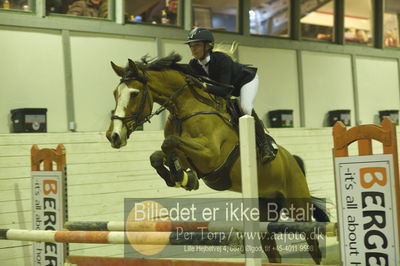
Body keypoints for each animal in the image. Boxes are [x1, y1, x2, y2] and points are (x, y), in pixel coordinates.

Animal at [106, 52, 328, 264]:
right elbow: (159, 154)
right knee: (274, 253)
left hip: (298, 207)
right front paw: (181, 178)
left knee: (313, 247)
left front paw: (180, 176)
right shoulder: (189, 156)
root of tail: (293, 160)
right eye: (115, 93)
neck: (186, 107)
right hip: (265, 210)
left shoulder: (210, 155)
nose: (113, 136)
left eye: (134, 93)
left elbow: (169, 142)